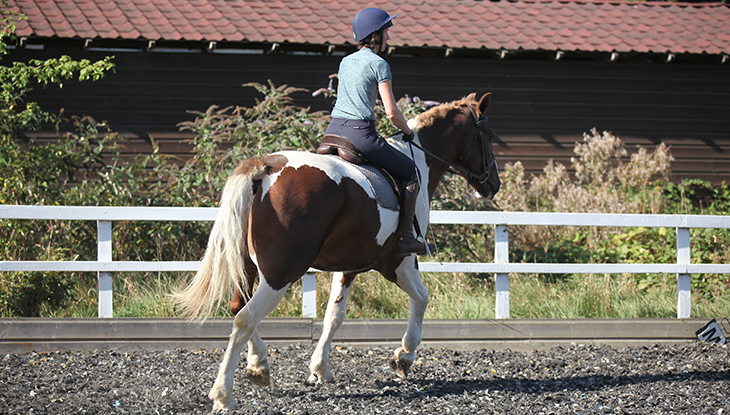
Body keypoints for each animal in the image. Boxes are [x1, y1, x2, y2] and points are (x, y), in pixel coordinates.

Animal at [173, 92, 498, 412]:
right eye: (489, 136)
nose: (493, 185)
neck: (417, 158)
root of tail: (266, 167)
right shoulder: (399, 261)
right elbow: (421, 298)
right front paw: (403, 356)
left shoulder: (348, 267)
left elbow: (334, 315)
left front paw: (320, 368)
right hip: (281, 274)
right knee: (245, 318)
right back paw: (224, 393)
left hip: (248, 268)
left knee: (238, 307)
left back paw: (259, 366)